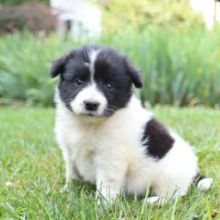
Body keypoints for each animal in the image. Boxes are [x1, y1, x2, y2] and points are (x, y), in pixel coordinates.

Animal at [50, 44, 212, 205]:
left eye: (109, 85)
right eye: (78, 82)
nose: (91, 104)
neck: (87, 124)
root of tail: (193, 173)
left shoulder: (111, 157)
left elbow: (107, 183)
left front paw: (103, 204)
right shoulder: (69, 151)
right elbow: (72, 173)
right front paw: (69, 191)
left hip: (169, 174)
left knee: (173, 195)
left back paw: (154, 201)